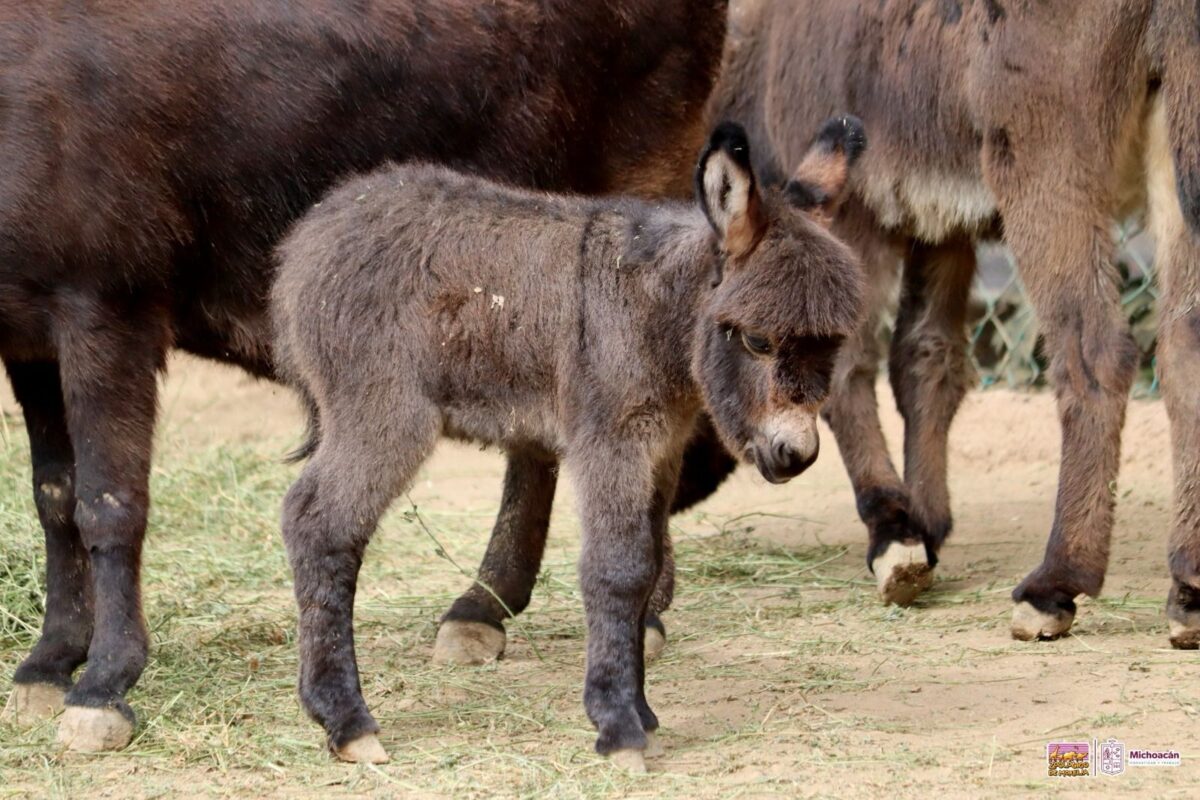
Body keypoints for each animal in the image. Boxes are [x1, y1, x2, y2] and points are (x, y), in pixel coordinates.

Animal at [274, 122, 864, 767]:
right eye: (757, 340)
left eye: (832, 345)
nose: (797, 455)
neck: (655, 311)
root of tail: (314, 234)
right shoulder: (611, 440)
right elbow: (619, 568)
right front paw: (619, 728)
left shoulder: (662, 446)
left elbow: (648, 563)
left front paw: (643, 714)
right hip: (384, 413)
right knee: (319, 523)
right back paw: (347, 721)